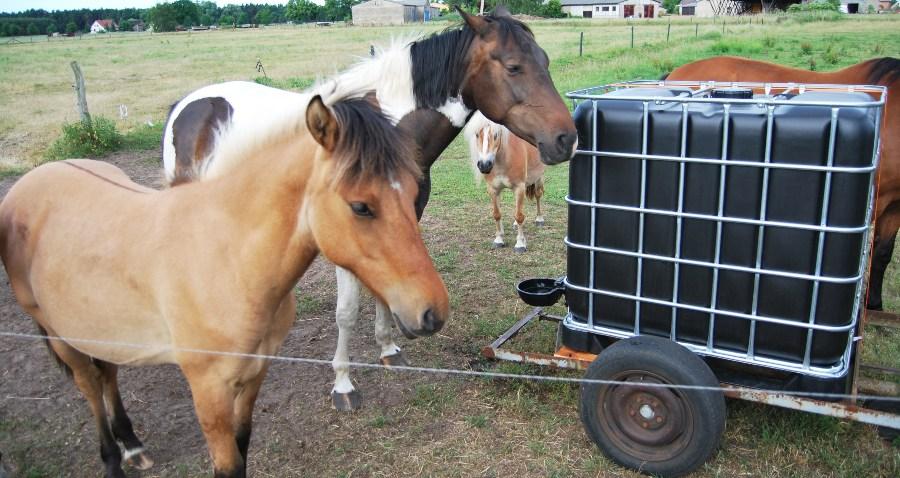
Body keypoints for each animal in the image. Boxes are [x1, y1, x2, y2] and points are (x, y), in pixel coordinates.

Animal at [0, 94, 450, 478]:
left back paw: (133, 445)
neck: (228, 257)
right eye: (360, 206)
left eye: (415, 192)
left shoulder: (254, 374)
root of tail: (31, 180)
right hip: (60, 334)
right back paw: (113, 458)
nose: (432, 312)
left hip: (100, 325)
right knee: (90, 386)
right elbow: (228, 463)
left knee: (108, 372)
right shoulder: (208, 389)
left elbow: (244, 444)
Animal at [468, 112, 544, 254]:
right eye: (477, 134)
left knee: (538, 195)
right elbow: (497, 214)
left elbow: (519, 216)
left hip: (538, 177)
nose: (484, 165)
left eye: (496, 135)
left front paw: (520, 244)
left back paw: (539, 219)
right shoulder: (493, 189)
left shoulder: (519, 188)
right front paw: (499, 240)